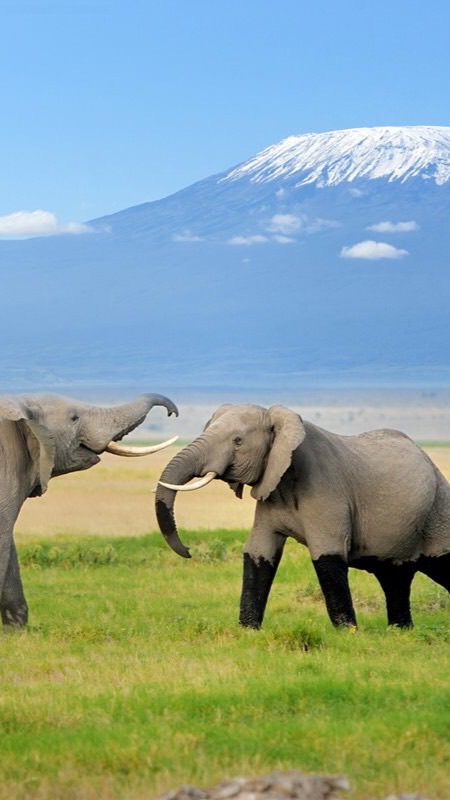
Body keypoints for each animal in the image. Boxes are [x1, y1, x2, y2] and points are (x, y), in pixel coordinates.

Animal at [156, 404, 450, 628]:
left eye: (237, 441)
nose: (188, 551)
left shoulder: (326, 490)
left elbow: (327, 555)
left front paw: (348, 633)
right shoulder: (271, 488)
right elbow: (259, 552)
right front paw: (247, 630)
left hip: (438, 507)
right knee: (395, 578)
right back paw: (401, 631)